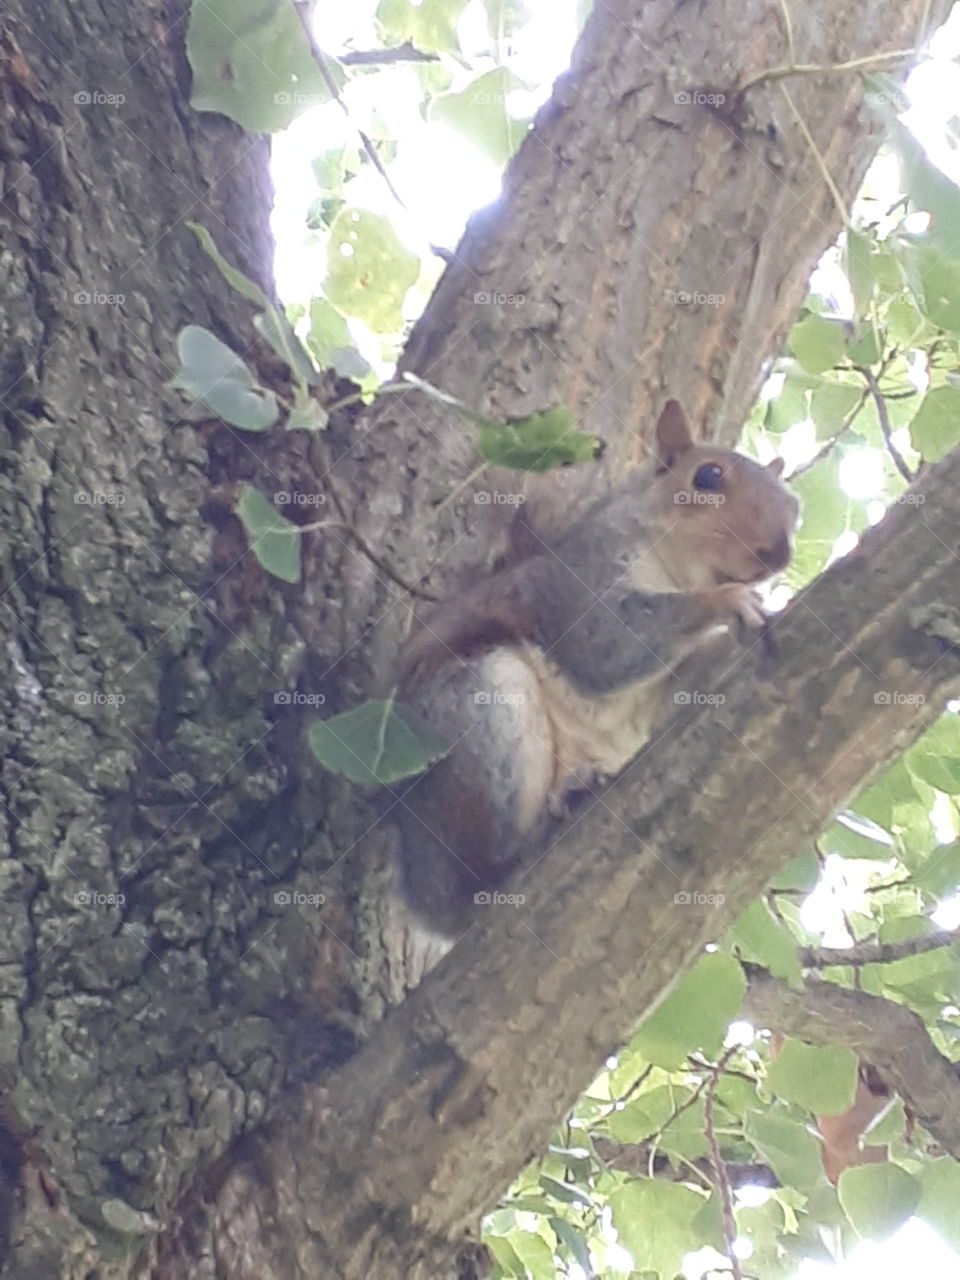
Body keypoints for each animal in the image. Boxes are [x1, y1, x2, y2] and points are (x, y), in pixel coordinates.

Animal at [394, 401, 798, 942]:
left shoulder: (663, 688)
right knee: (481, 877)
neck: (675, 568)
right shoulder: (578, 583)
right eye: (708, 476)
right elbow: (605, 647)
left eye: (793, 506)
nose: (779, 553)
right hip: (481, 713)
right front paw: (726, 600)